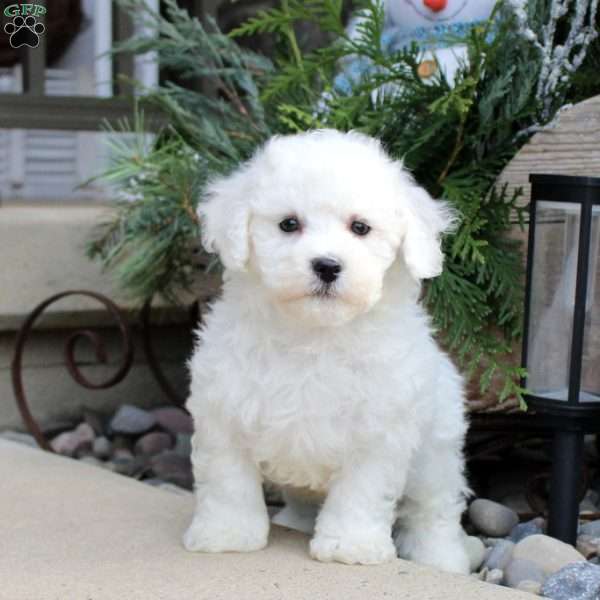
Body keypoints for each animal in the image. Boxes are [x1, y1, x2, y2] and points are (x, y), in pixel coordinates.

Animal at [183, 130, 468, 572]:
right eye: (288, 224)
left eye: (360, 228)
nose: (328, 265)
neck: (315, 333)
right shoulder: (224, 411)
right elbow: (228, 481)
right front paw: (227, 535)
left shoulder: (378, 430)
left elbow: (361, 492)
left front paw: (350, 545)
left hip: (436, 453)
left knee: (433, 510)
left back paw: (441, 559)